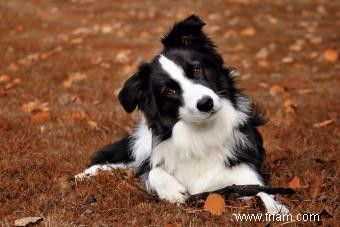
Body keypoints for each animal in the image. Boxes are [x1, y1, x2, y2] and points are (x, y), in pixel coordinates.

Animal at [77, 15, 290, 214]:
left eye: (196, 69)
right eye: (169, 91)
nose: (205, 103)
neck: (203, 132)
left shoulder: (247, 173)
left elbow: (264, 193)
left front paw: (277, 210)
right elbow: (152, 170)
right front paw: (172, 191)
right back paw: (86, 174)